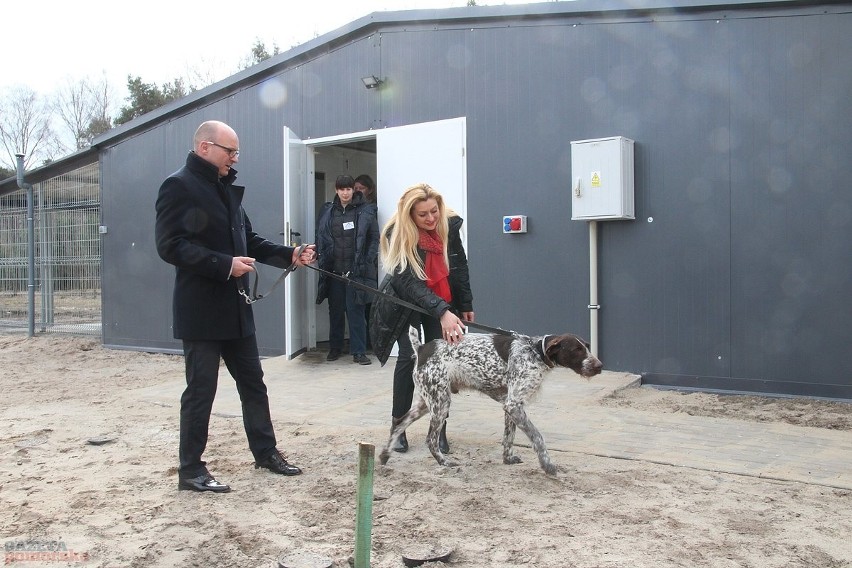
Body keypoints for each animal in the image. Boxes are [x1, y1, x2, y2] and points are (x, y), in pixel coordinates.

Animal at [382, 324, 604, 474]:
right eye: (577, 350)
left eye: (587, 347)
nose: (599, 366)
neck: (535, 352)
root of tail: (421, 349)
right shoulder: (514, 405)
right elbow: (537, 437)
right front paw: (547, 464)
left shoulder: (511, 405)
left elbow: (509, 436)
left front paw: (507, 459)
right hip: (440, 402)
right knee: (430, 439)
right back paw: (444, 462)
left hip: (427, 402)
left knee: (398, 423)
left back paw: (384, 455)